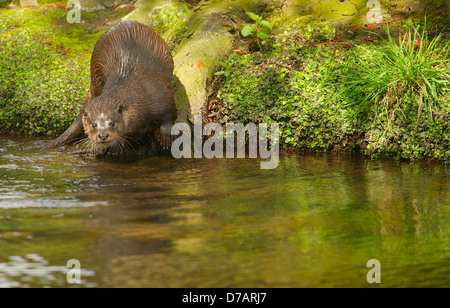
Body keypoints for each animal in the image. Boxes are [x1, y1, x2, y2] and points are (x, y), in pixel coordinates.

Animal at [44, 21, 177, 154]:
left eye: (112, 123)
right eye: (93, 125)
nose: (103, 135)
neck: (139, 96)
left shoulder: (161, 95)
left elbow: (169, 114)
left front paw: (165, 137)